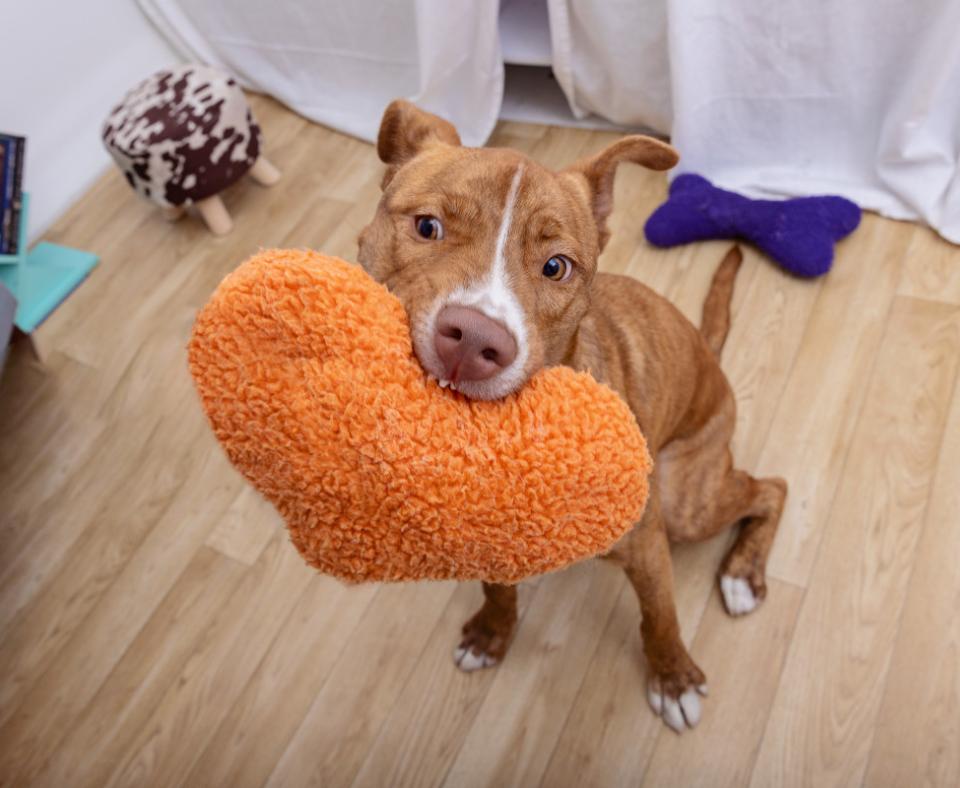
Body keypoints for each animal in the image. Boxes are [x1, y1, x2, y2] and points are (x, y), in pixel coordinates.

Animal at [356, 101, 784, 736]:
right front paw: (492, 632)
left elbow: (660, 614)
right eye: (427, 226)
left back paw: (740, 573)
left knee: (771, 488)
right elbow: (497, 590)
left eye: (556, 267)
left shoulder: (647, 542)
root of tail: (709, 356)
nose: (474, 340)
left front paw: (674, 677)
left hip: (687, 498)